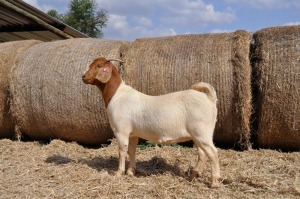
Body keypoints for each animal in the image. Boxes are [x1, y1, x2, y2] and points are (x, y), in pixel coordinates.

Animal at [82, 56, 220, 187]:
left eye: (98, 65)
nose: (83, 76)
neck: (116, 95)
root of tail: (209, 98)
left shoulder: (121, 131)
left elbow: (122, 151)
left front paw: (118, 174)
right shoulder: (133, 134)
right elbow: (132, 150)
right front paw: (130, 172)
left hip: (202, 132)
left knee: (213, 153)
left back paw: (214, 182)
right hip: (197, 134)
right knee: (202, 153)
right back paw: (193, 175)